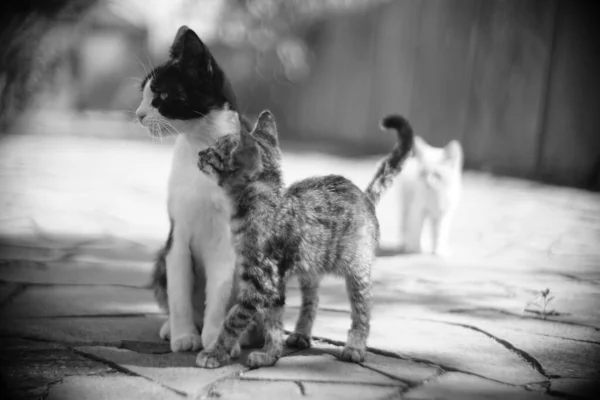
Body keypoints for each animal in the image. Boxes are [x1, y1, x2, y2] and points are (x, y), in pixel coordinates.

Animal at [197, 111, 412, 368]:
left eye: (214, 151)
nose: (199, 153)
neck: (261, 205)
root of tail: (364, 197)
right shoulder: (275, 283)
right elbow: (273, 322)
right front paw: (270, 354)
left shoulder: (261, 280)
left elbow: (234, 318)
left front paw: (215, 352)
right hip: (310, 269)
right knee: (313, 300)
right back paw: (301, 334)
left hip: (358, 270)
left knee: (363, 309)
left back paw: (355, 347)